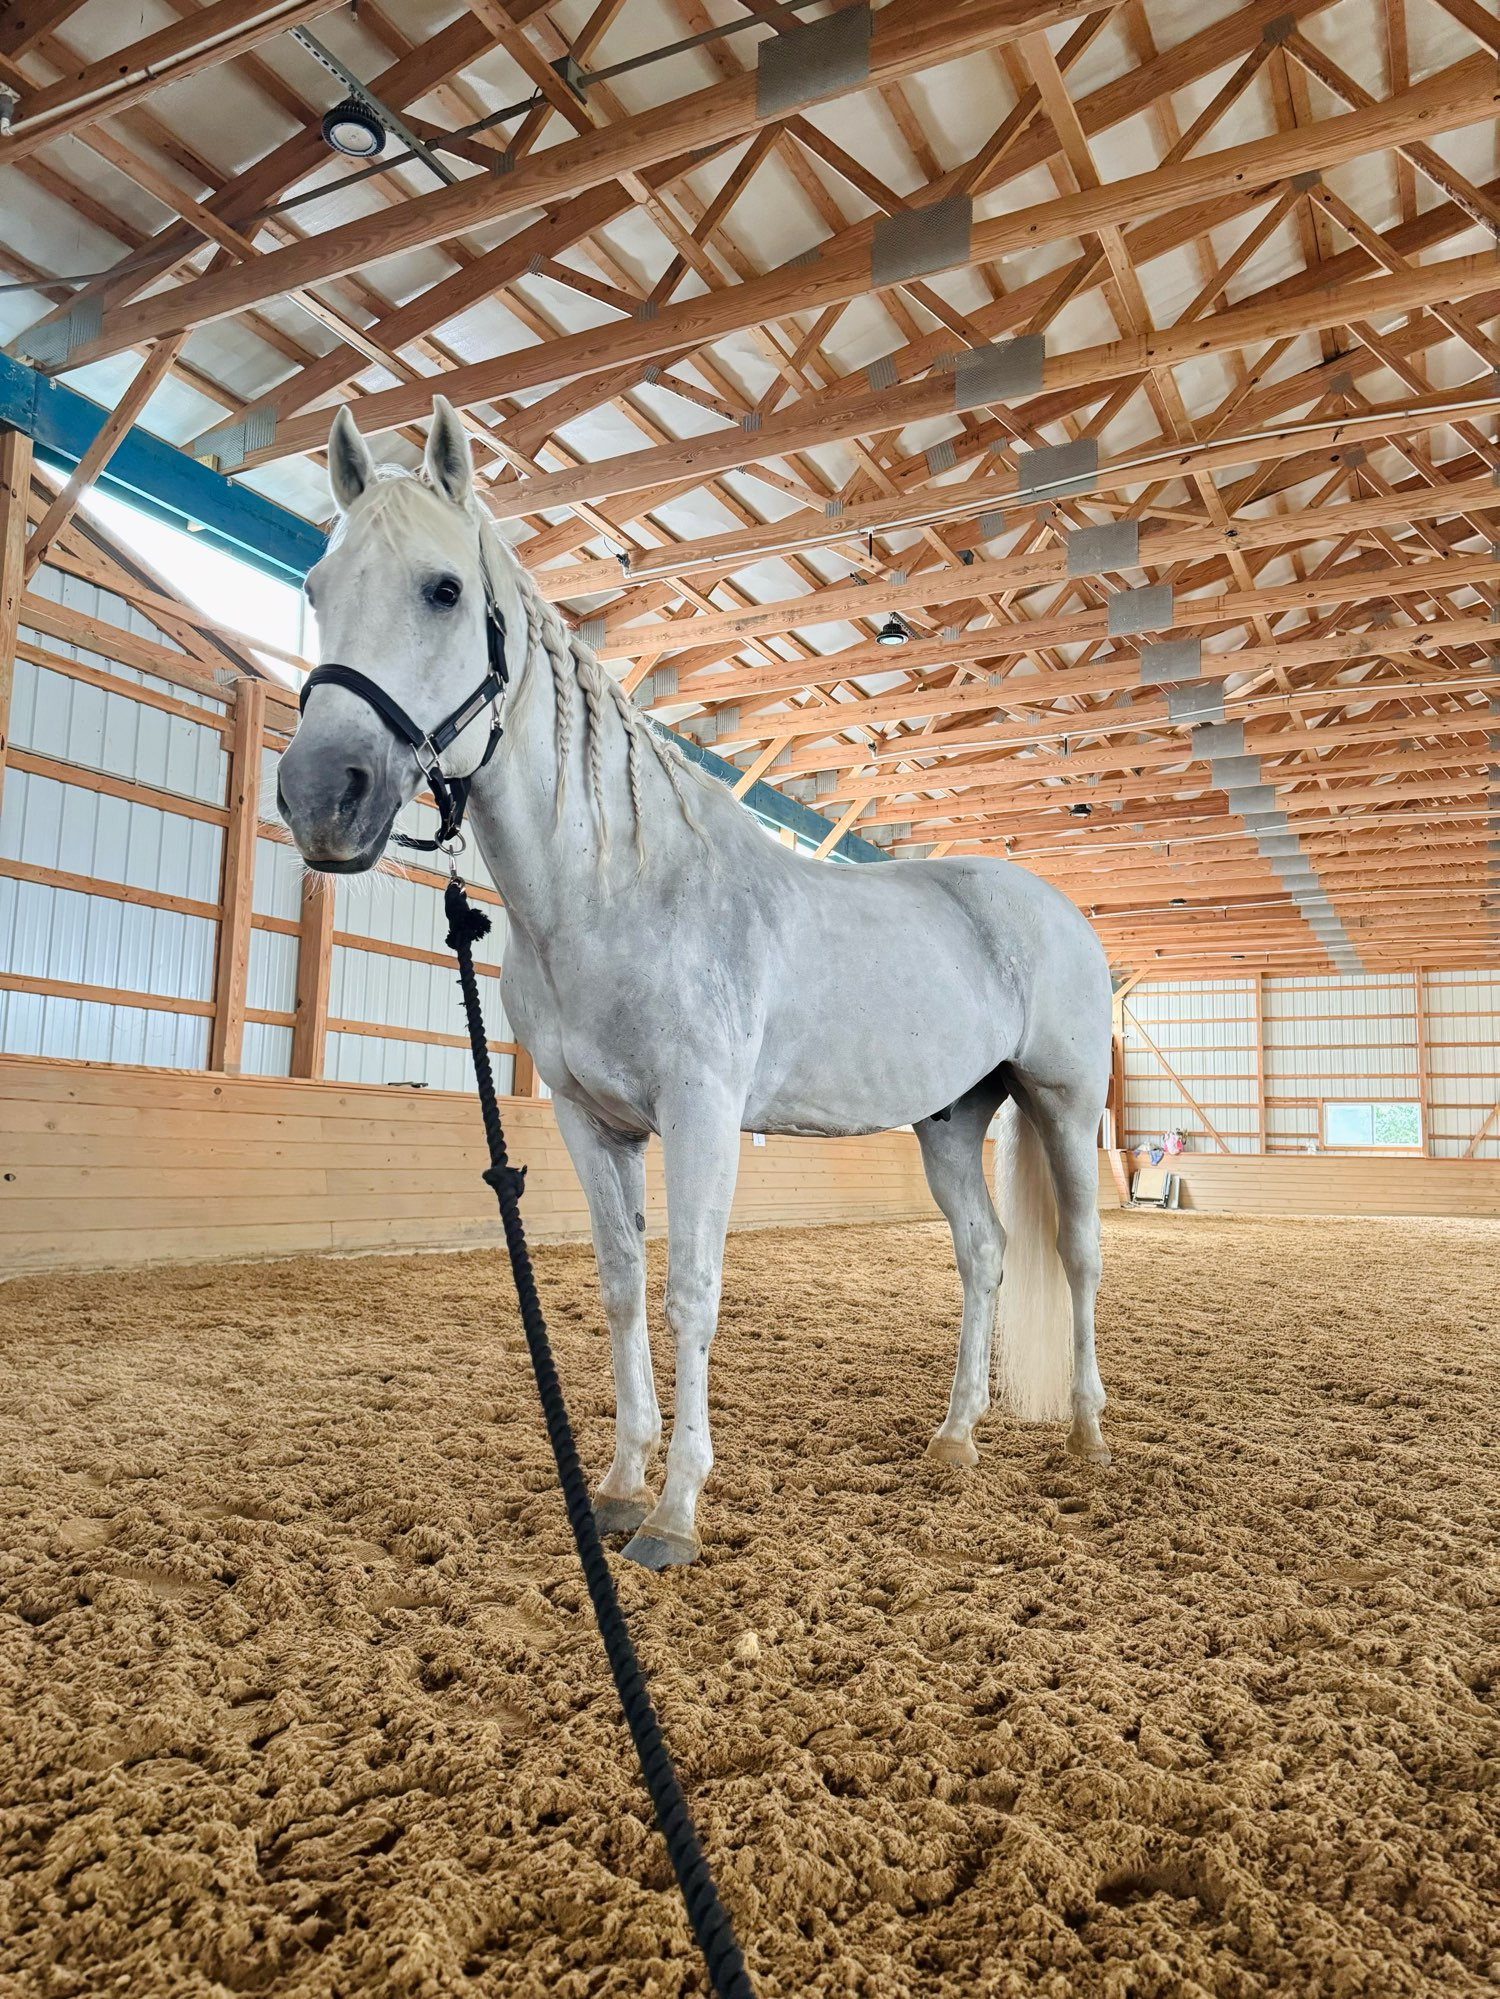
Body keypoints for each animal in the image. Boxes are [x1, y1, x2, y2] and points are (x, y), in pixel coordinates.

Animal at [276, 397, 1120, 1567]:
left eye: (442, 588)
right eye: (316, 587)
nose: (323, 796)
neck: (617, 886)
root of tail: (1054, 911)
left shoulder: (703, 1113)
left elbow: (690, 1294)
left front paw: (676, 1511)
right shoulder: (592, 1123)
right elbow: (623, 1290)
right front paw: (619, 1485)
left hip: (1062, 1101)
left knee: (1079, 1255)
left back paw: (1087, 1436)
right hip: (951, 1118)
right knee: (986, 1255)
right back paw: (955, 1440)